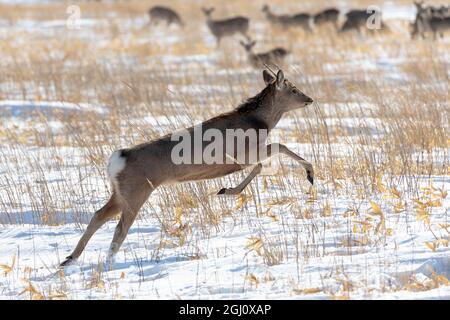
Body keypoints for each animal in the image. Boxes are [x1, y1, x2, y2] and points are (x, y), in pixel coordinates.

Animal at [59, 69, 312, 268]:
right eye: (293, 88)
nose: (309, 99)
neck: (260, 121)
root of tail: (117, 159)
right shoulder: (243, 153)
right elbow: (275, 151)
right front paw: (310, 173)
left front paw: (227, 190)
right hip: (136, 193)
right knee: (120, 228)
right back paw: (106, 263)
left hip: (120, 193)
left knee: (98, 215)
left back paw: (70, 258)